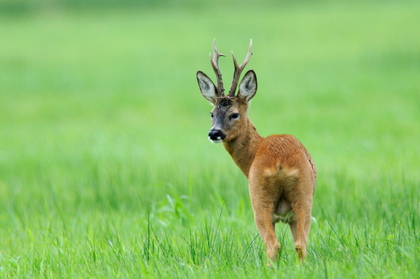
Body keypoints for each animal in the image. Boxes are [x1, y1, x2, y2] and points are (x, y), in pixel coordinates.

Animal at [195, 40, 316, 264]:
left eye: (234, 114)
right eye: (212, 113)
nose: (214, 133)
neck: (253, 153)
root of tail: (279, 162)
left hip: (258, 198)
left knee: (273, 244)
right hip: (303, 198)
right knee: (300, 244)